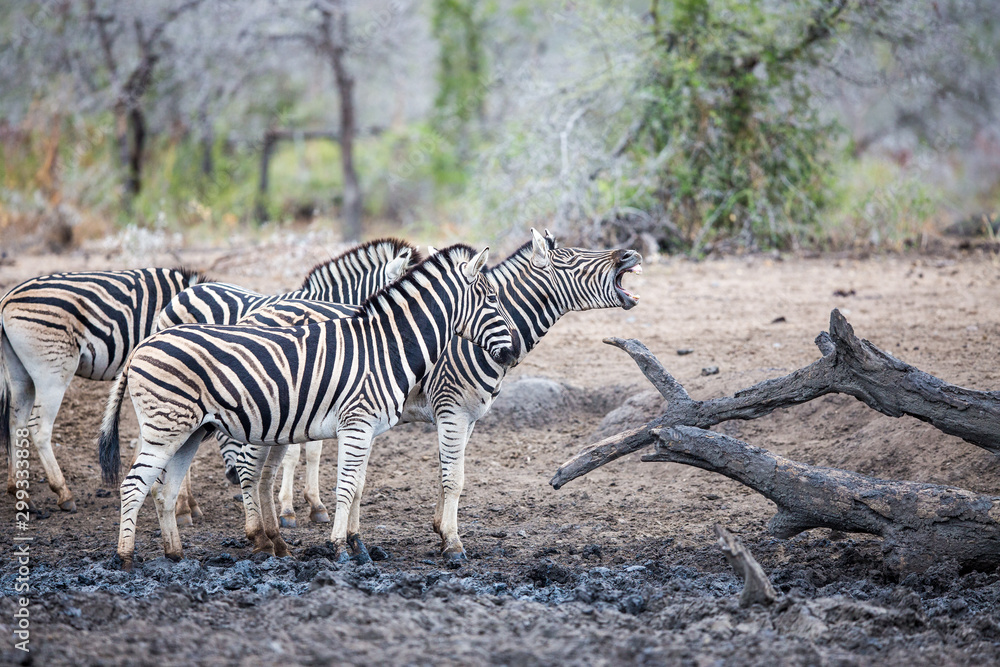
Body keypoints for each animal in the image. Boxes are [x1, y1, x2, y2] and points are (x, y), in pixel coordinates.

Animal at [1, 267, 205, 513]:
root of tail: (8, 298)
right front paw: (187, 503)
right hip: (52, 372)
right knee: (39, 427)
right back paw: (63, 492)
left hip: (19, 371)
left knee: (16, 420)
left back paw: (18, 490)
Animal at [97, 245, 520, 569]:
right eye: (492, 299)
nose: (514, 352)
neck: (385, 346)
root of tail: (144, 343)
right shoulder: (356, 423)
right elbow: (346, 487)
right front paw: (339, 548)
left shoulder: (366, 428)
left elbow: (359, 485)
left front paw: (358, 546)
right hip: (166, 427)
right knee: (135, 484)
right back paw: (125, 559)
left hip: (189, 430)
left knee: (164, 490)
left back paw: (175, 555)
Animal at [227, 229, 642, 560]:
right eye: (572, 258)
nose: (631, 254)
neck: (472, 339)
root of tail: (258, 310)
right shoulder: (451, 410)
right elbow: (453, 478)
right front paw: (454, 544)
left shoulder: (467, 417)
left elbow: (449, 473)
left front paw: (441, 532)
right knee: (251, 468)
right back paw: (261, 536)